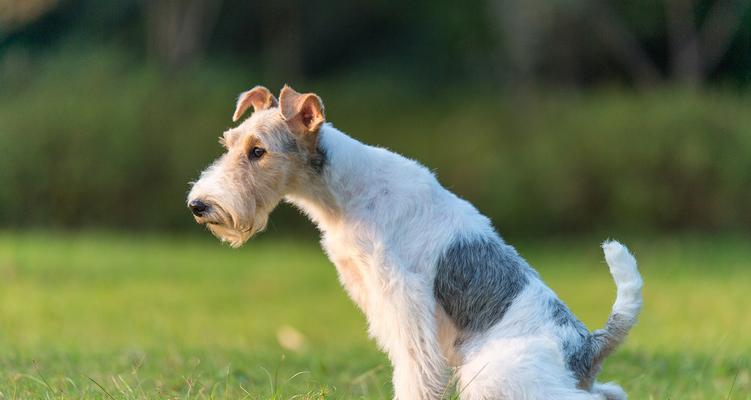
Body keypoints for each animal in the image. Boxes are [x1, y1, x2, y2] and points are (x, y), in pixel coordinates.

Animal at [187, 85, 640, 400]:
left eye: (258, 151)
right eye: (229, 143)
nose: (198, 205)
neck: (348, 191)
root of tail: (586, 346)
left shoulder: (405, 299)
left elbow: (415, 373)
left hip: (497, 376)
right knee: (613, 392)